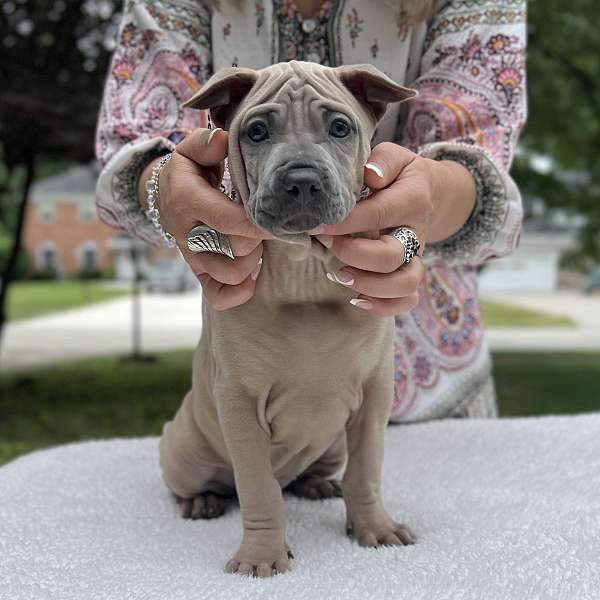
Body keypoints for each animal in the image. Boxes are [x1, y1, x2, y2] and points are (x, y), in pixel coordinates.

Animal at [162, 59, 420, 576]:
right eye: (257, 131)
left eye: (340, 127)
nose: (301, 179)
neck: (304, 271)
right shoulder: (240, 402)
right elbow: (259, 490)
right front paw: (261, 556)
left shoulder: (374, 394)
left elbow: (367, 471)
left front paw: (374, 527)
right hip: (182, 449)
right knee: (211, 482)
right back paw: (202, 500)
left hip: (332, 442)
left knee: (311, 472)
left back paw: (316, 483)